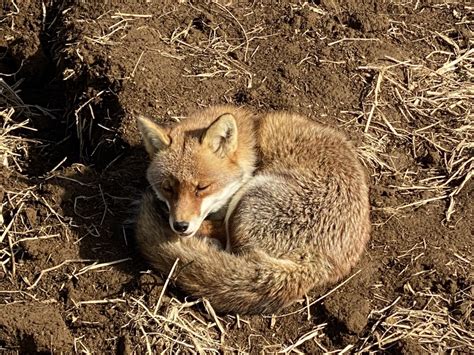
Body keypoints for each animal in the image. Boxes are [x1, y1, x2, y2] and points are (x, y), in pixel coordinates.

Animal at [133, 105, 370, 314]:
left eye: (202, 187)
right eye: (168, 188)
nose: (180, 226)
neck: (254, 145)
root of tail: (318, 261)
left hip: (249, 197)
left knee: (227, 245)